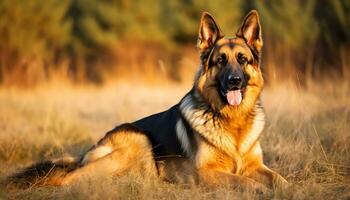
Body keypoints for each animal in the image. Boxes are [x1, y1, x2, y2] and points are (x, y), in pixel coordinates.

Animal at [6, 10, 288, 190]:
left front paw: (284, 189)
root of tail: (88, 152)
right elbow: (245, 182)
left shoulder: (256, 166)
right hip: (139, 141)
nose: (234, 82)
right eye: (220, 61)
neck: (233, 122)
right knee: (66, 180)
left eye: (243, 60)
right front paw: (261, 190)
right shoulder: (207, 174)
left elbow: (280, 181)